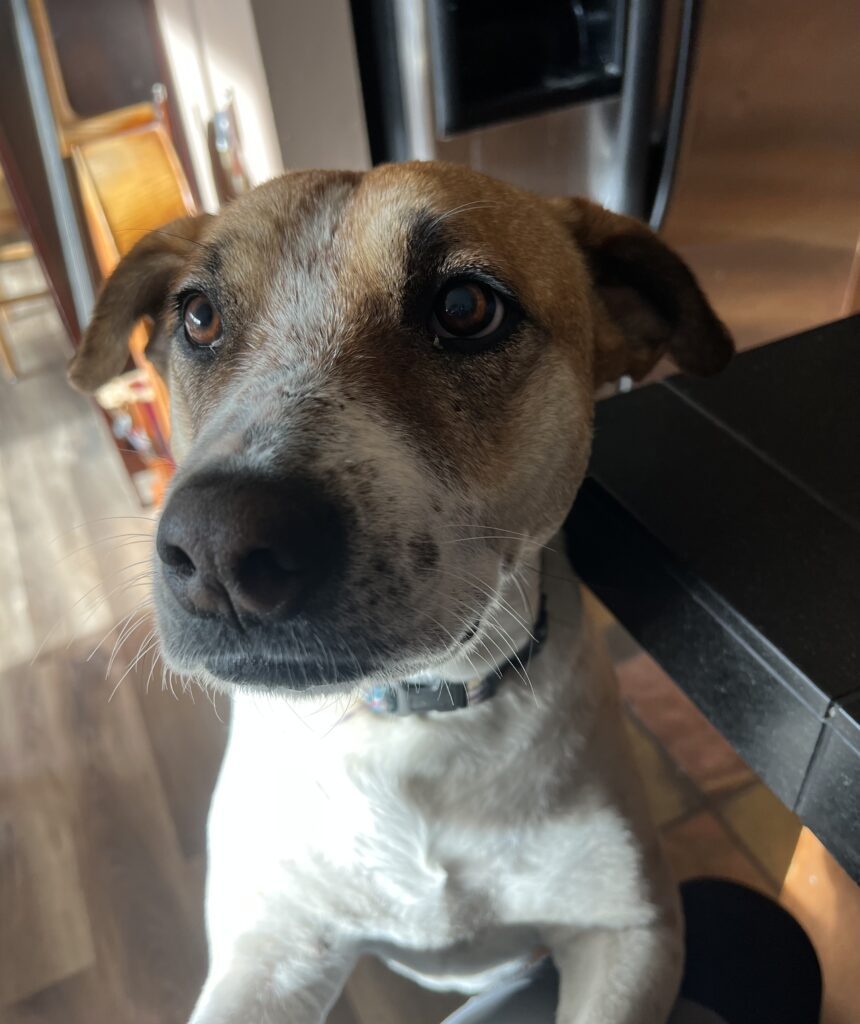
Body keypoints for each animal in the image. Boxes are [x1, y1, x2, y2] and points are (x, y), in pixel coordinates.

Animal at [72, 161, 733, 1024]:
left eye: (466, 308)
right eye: (201, 317)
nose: (219, 544)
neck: (411, 724)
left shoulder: (629, 931)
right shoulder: (268, 951)